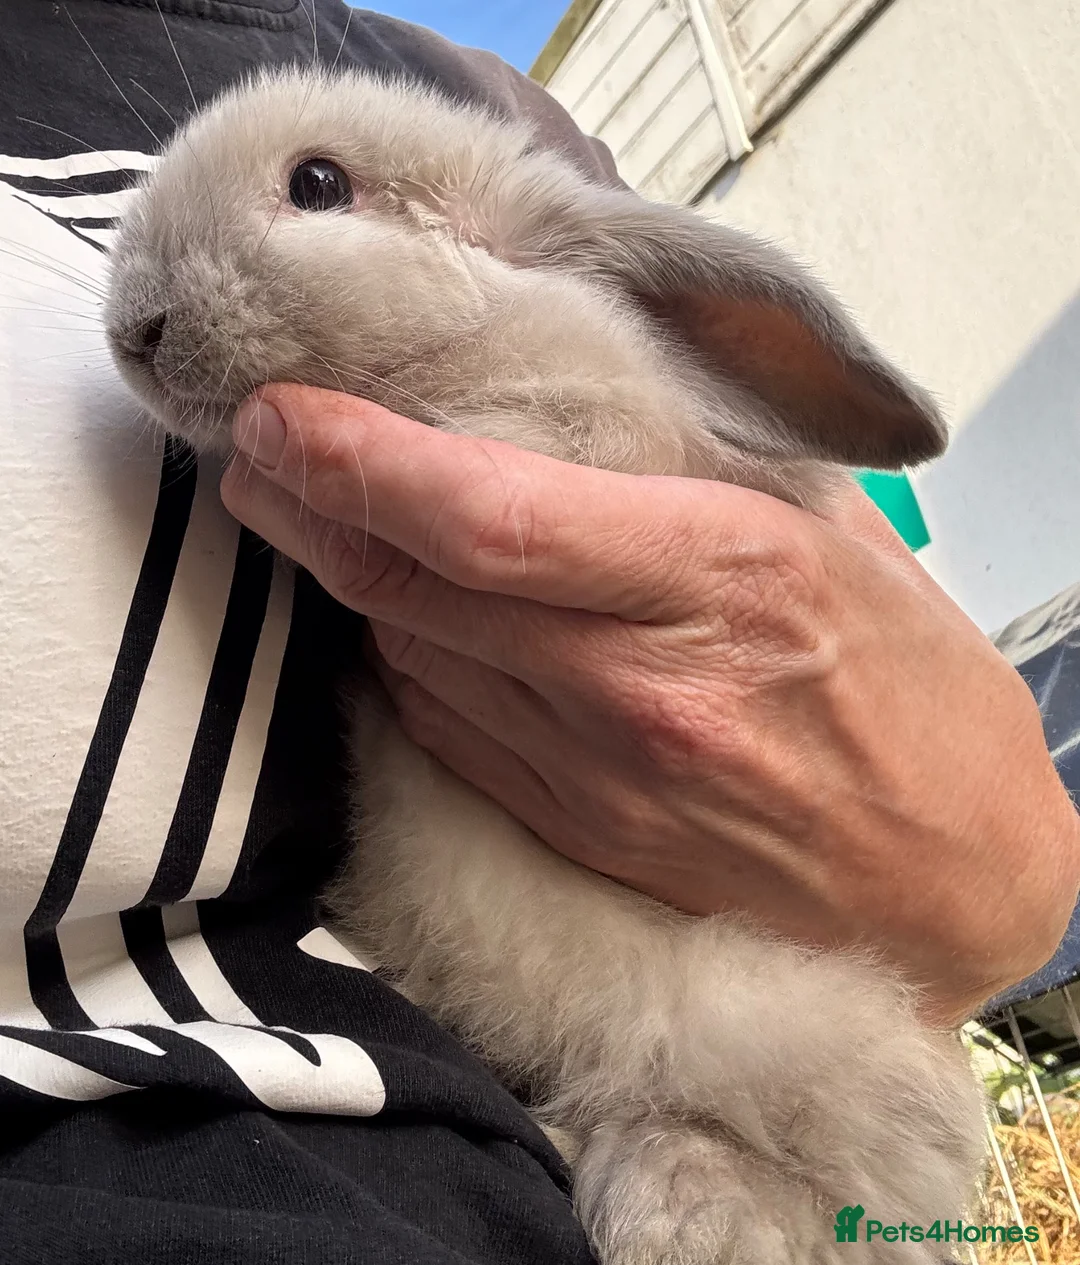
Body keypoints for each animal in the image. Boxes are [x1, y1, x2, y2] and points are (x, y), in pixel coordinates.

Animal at [104, 66, 986, 1265]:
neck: (477, 327)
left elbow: (527, 432)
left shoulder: (594, 430)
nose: (130, 327)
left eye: (319, 183)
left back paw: (665, 1202)